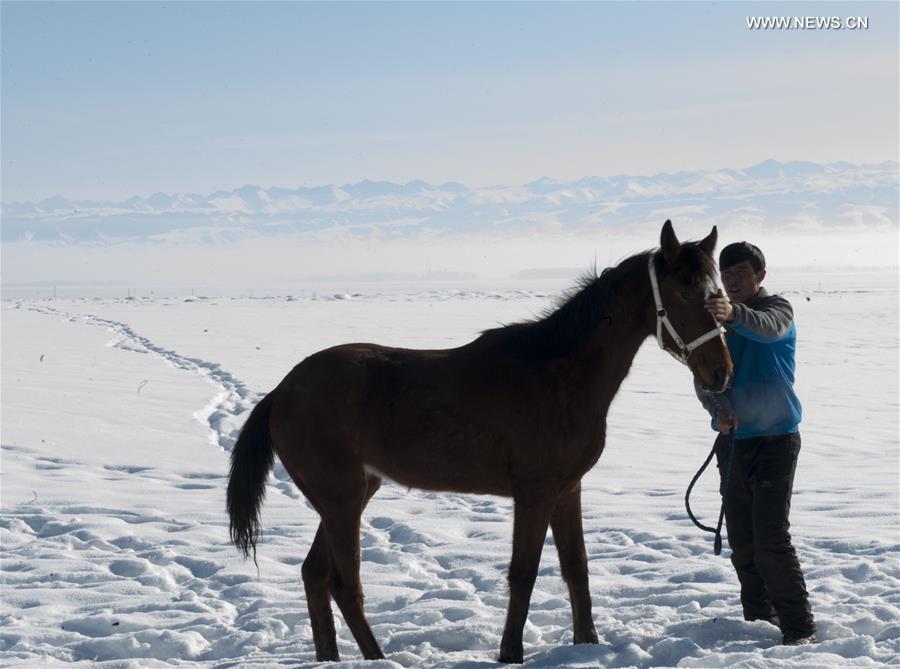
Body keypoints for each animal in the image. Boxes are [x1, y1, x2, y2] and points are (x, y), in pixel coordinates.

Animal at [227, 220, 732, 663]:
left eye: (720, 293)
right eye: (685, 291)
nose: (720, 372)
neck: (557, 373)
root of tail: (281, 391)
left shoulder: (567, 490)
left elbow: (576, 567)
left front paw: (586, 644)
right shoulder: (534, 494)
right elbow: (524, 573)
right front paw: (511, 653)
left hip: (349, 496)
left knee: (315, 575)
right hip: (342, 502)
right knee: (344, 583)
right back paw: (377, 658)